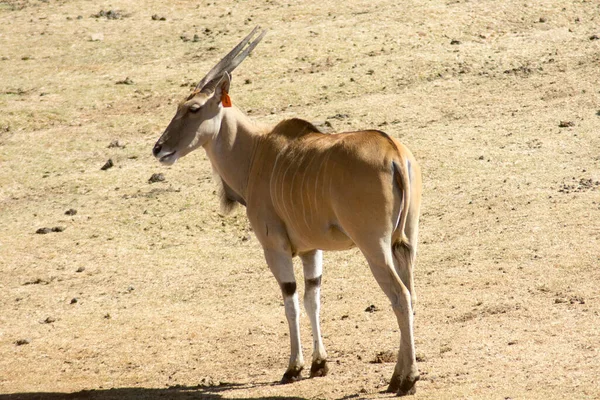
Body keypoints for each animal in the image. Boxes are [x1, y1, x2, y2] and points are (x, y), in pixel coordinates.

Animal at [152, 26, 424, 396]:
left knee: (399, 295)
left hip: (374, 246)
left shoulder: (275, 247)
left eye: (193, 108)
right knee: (410, 294)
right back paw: (399, 374)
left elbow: (291, 301)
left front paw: (293, 368)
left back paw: (406, 381)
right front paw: (319, 364)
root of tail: (394, 152)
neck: (256, 152)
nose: (159, 148)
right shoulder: (311, 250)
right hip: (404, 241)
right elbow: (313, 297)